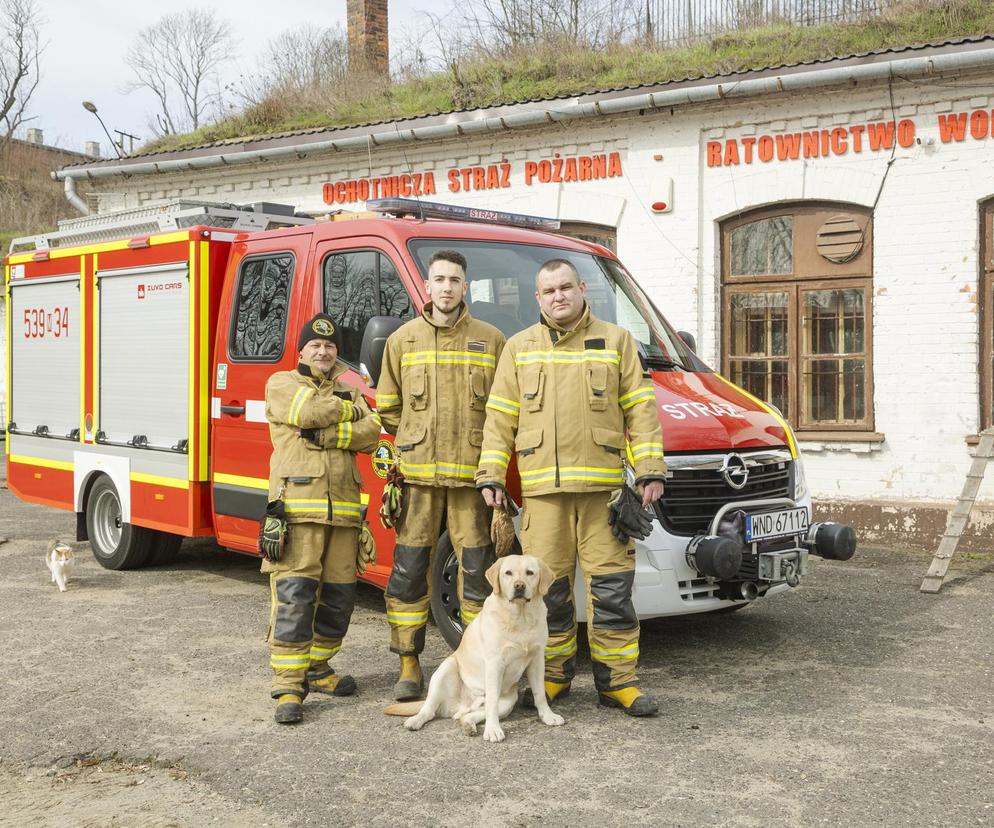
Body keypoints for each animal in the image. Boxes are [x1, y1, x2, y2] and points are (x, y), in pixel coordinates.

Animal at [388, 552, 564, 740]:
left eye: (530, 573)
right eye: (508, 573)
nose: (519, 586)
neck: (520, 617)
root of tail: (463, 705)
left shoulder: (537, 659)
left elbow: (540, 693)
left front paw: (548, 716)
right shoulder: (495, 663)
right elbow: (492, 701)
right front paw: (493, 730)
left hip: (508, 702)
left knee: (469, 715)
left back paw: (468, 725)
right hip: (446, 669)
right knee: (428, 710)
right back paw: (415, 721)